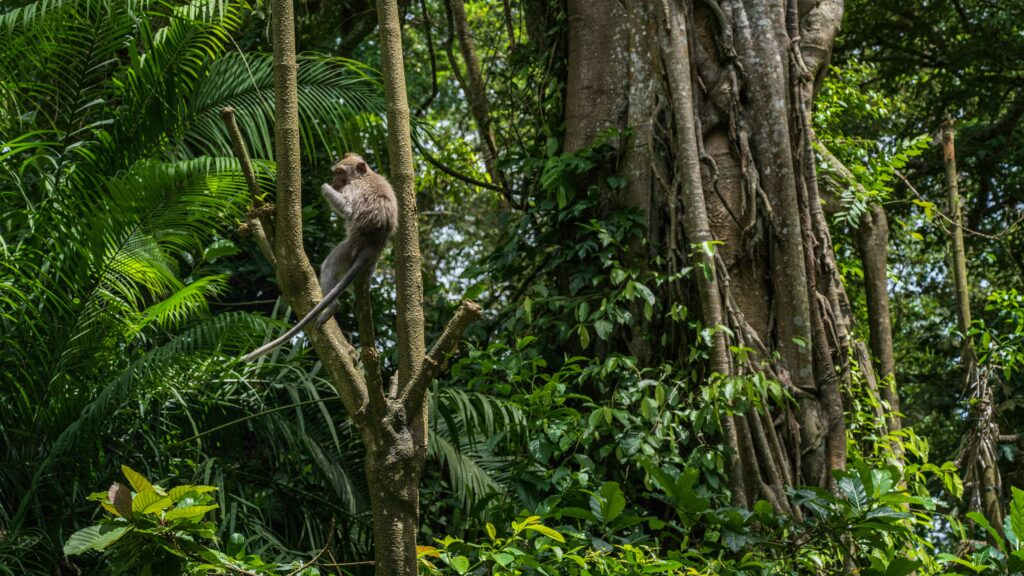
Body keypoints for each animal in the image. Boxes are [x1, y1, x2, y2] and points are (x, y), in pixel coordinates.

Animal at [244, 154, 398, 361]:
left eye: (340, 172)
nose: (334, 180)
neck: (364, 176)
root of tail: (373, 243)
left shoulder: (353, 188)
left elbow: (348, 210)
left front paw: (324, 186)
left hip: (348, 250)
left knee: (328, 266)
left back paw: (332, 307)